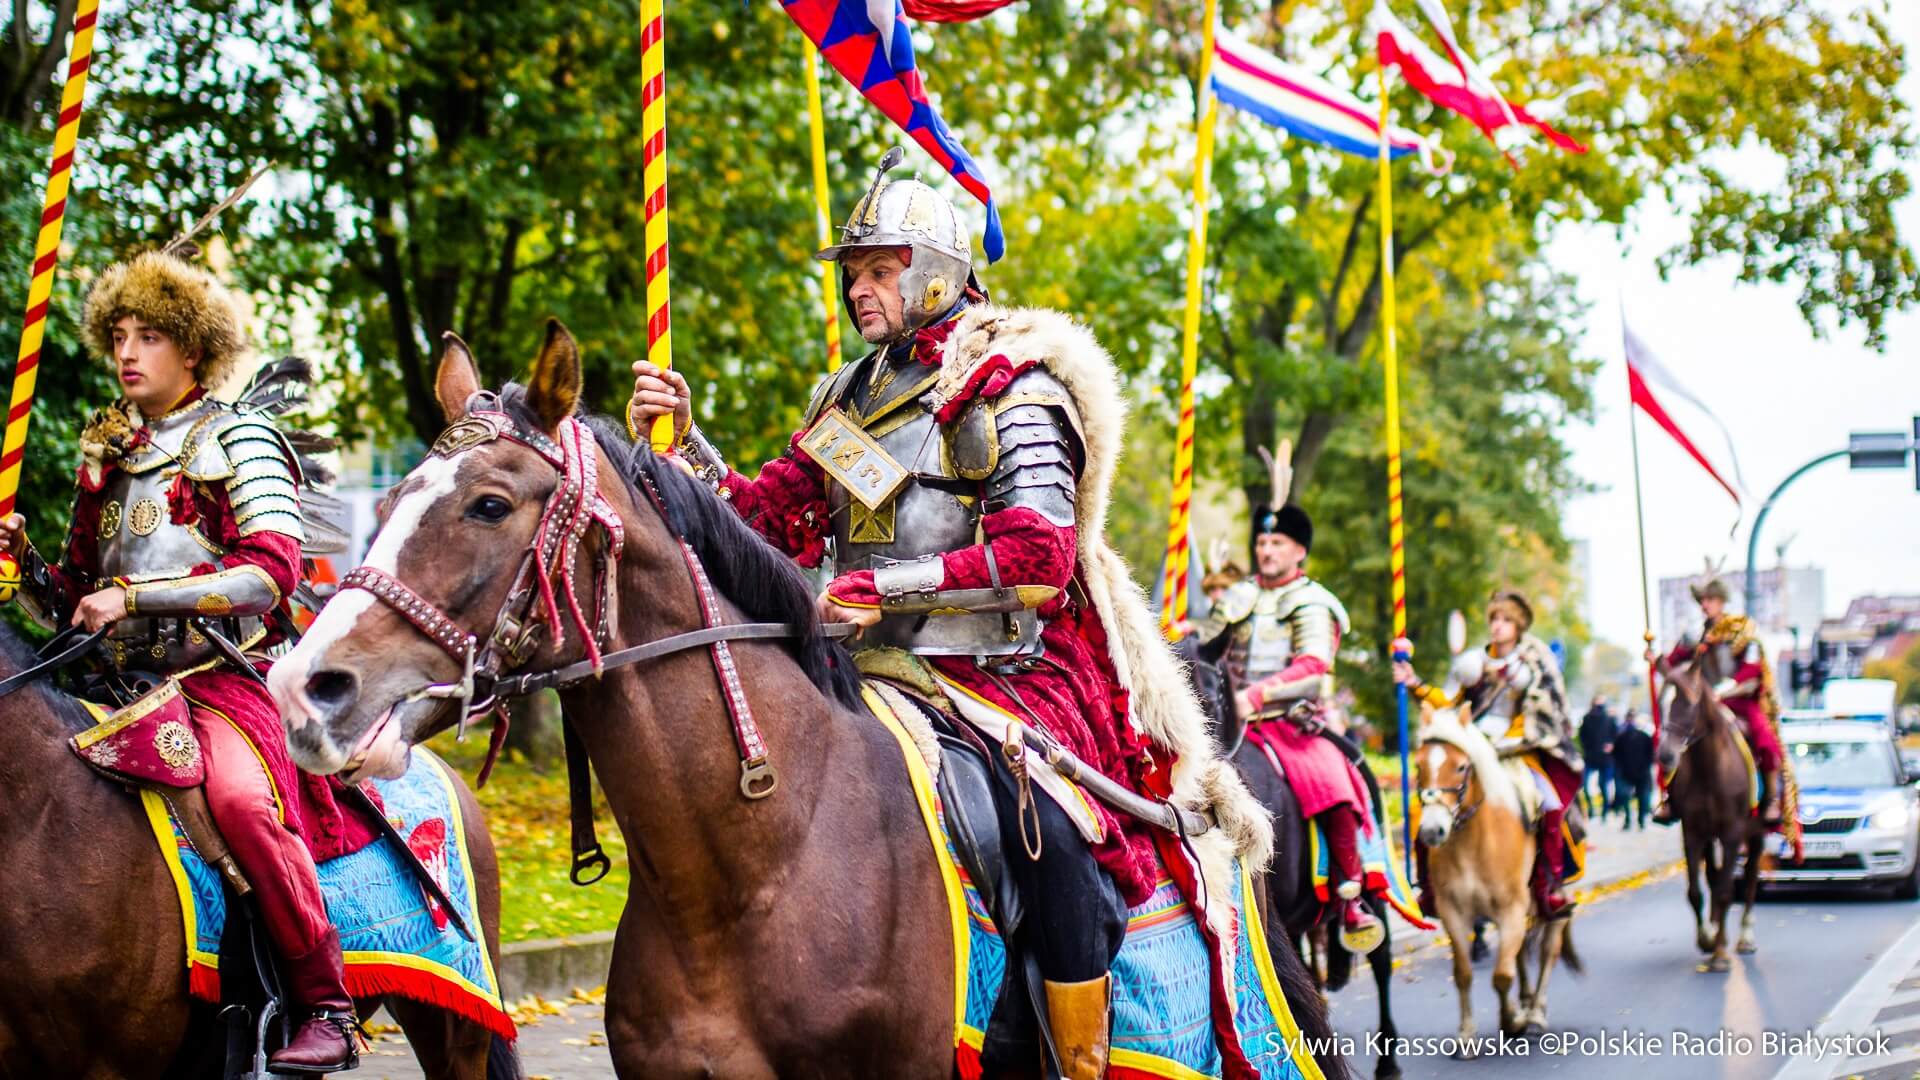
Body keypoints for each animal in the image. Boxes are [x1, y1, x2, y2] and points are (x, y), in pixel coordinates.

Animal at [1413, 708, 1580, 1056]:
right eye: (1419, 765)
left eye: (1461, 767)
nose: (1432, 831)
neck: (1473, 844)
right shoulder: (1454, 913)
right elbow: (1463, 974)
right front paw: (1466, 1034)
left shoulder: (1510, 910)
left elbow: (1501, 976)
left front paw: (1512, 1021)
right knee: (1519, 955)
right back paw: (1527, 1002)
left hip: (1557, 903)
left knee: (1548, 951)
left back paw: (1536, 1011)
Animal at [1654, 663, 1767, 973]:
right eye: (1661, 702)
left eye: (1690, 704)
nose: (1665, 755)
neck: (1709, 768)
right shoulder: (1692, 833)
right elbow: (1696, 892)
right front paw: (1707, 940)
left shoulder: (1732, 834)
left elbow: (1728, 891)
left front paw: (1719, 956)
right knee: (1714, 878)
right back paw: (1719, 931)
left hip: (1756, 834)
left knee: (1750, 878)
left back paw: (1744, 938)